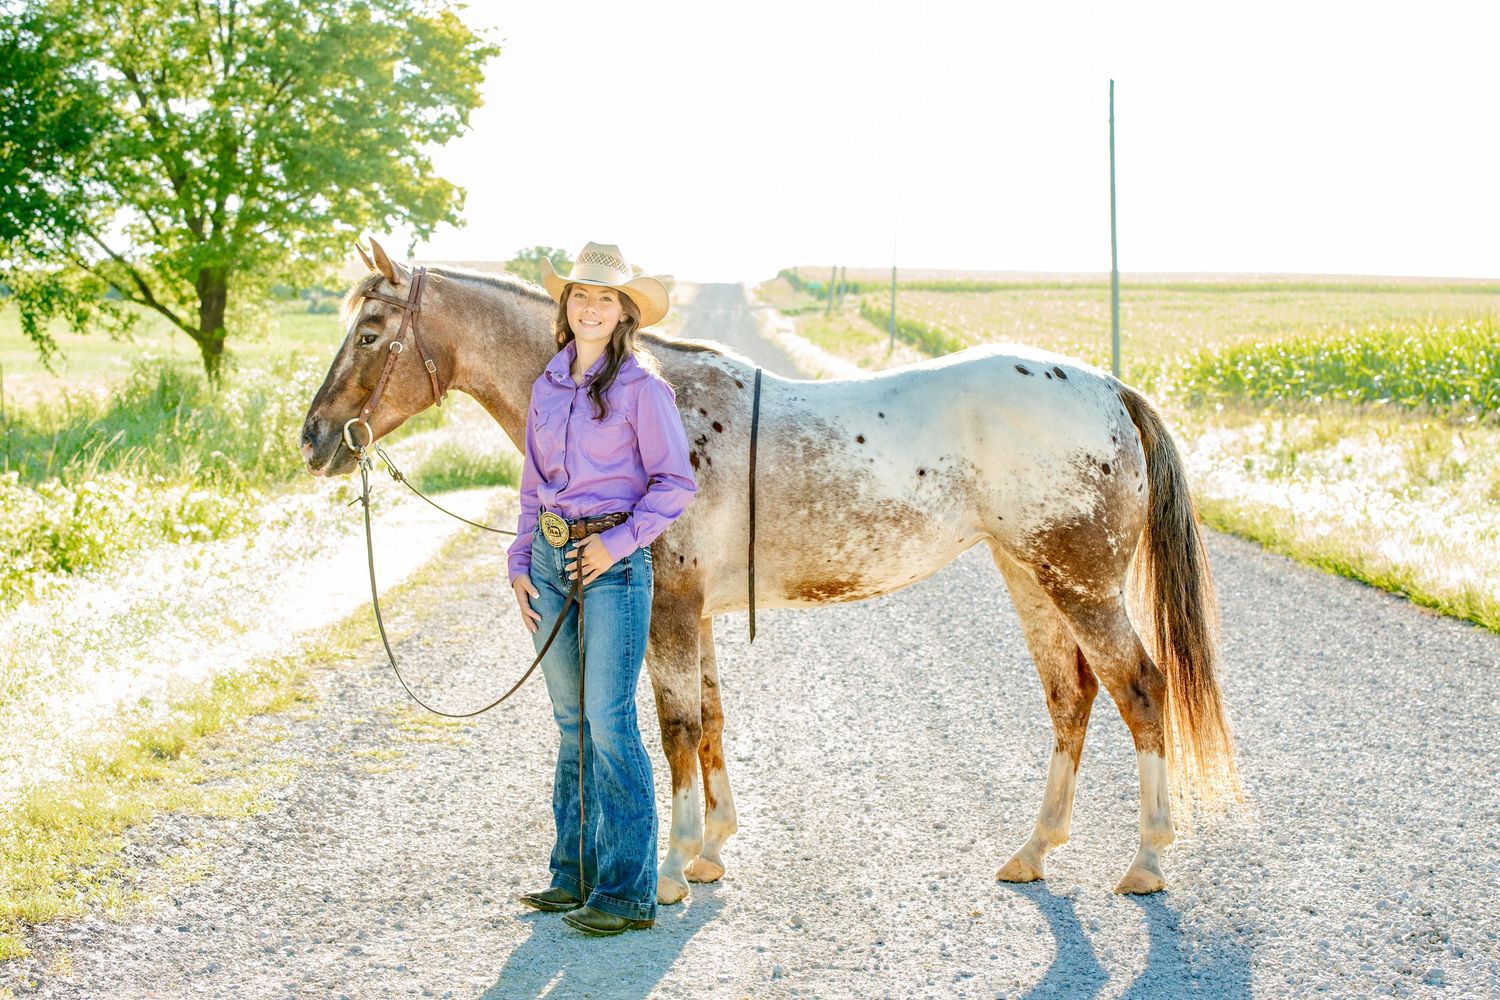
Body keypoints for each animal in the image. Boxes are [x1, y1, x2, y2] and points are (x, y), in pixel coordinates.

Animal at [300, 239, 1240, 903]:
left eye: (372, 332)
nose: (312, 438)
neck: (638, 391)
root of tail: (1109, 389)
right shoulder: (697, 615)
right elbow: (712, 719)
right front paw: (713, 849)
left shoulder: (670, 613)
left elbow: (677, 727)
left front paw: (672, 870)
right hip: (1029, 577)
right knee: (1070, 698)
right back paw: (1033, 851)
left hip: (1079, 584)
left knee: (1139, 689)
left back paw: (1148, 861)